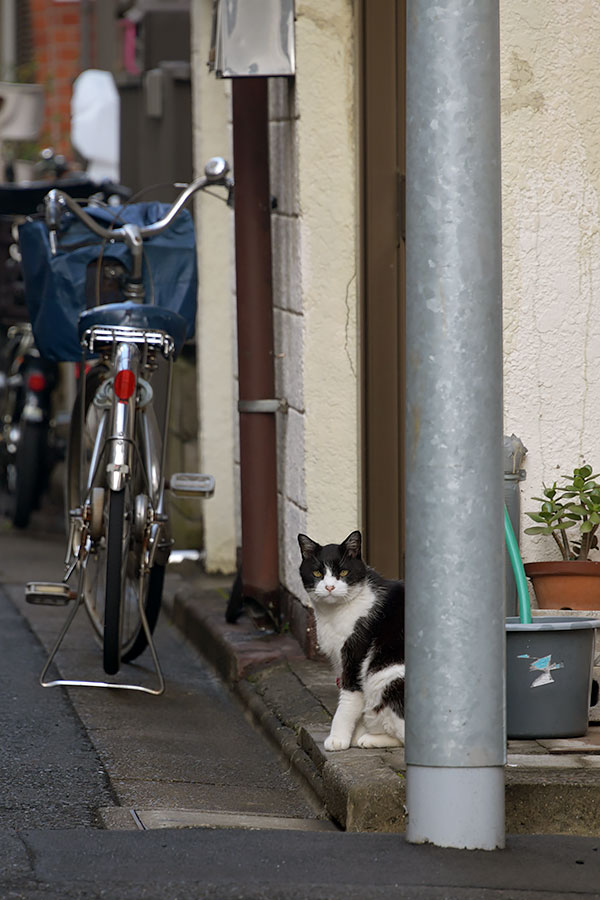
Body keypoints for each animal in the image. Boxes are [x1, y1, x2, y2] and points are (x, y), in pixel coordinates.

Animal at [298, 532, 406, 748]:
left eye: (344, 572)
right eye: (317, 574)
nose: (330, 586)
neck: (333, 614)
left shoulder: (355, 655)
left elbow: (348, 700)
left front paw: (338, 738)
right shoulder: (339, 660)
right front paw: (354, 734)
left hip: (387, 677)